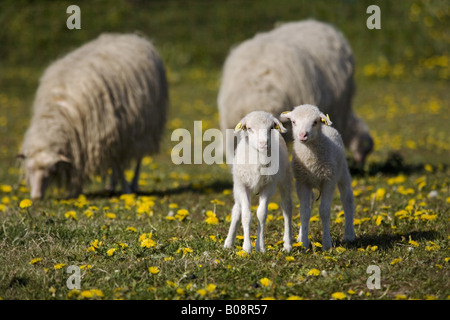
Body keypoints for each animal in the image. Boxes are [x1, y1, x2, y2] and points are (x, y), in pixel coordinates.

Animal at [17, 31, 169, 198]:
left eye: (52, 171)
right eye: (29, 168)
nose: (36, 197)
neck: (59, 110)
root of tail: (131, 36)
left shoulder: (115, 134)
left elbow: (120, 165)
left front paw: (126, 189)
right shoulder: (85, 142)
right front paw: (78, 191)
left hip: (146, 127)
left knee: (138, 157)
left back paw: (132, 184)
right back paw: (111, 186)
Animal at [223, 111, 294, 254]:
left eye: (271, 128)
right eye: (249, 128)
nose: (263, 144)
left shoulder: (268, 186)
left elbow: (261, 214)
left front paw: (260, 247)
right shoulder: (243, 186)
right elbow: (246, 215)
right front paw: (246, 247)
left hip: (284, 178)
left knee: (287, 207)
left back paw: (288, 244)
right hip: (237, 186)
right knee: (236, 209)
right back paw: (228, 242)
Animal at [280, 104, 356, 250]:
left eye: (315, 122)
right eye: (293, 122)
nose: (302, 135)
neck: (311, 161)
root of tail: (327, 125)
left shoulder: (328, 180)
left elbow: (324, 211)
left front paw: (326, 244)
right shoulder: (302, 182)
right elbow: (304, 212)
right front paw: (304, 244)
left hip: (342, 171)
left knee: (347, 199)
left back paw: (349, 235)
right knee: (310, 202)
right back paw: (300, 236)